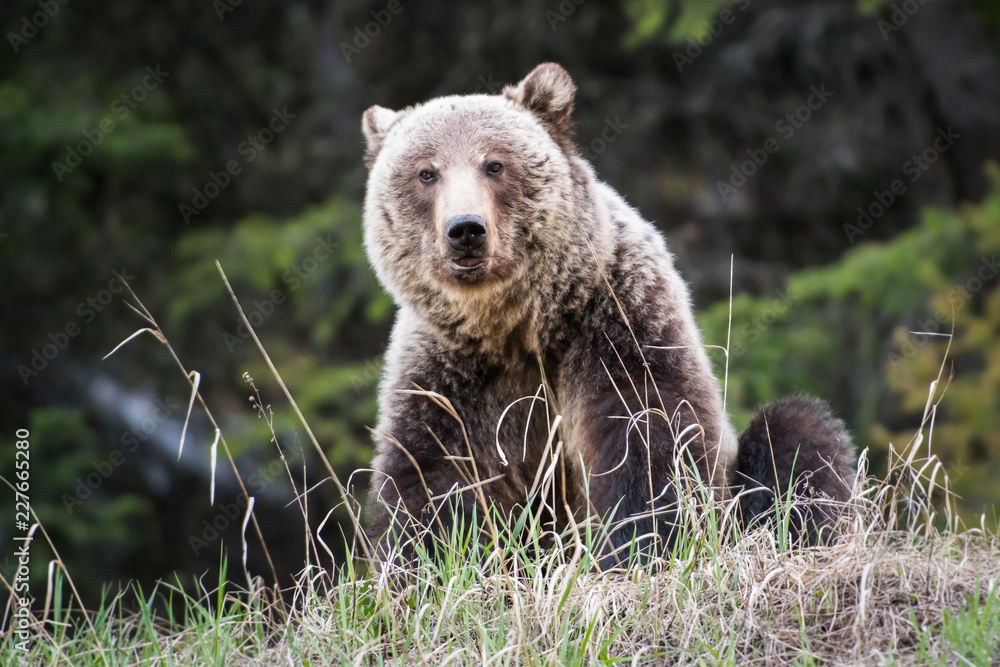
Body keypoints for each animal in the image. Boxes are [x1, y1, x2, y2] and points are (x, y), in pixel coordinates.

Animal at [360, 63, 856, 569]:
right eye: (426, 173)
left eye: (494, 164)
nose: (465, 229)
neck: (516, 326)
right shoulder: (448, 374)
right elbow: (433, 479)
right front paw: (428, 560)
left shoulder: (618, 322)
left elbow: (646, 437)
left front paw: (640, 547)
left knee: (798, 436)